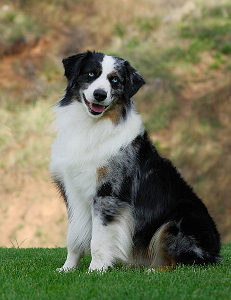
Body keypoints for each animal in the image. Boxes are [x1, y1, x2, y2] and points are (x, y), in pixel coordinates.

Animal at [50, 50, 220, 270]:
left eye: (114, 80)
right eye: (91, 74)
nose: (100, 94)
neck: (91, 124)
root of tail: (216, 250)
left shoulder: (108, 193)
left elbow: (98, 240)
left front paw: (96, 270)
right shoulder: (73, 193)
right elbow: (74, 237)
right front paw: (67, 269)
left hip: (178, 221)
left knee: (190, 262)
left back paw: (153, 271)